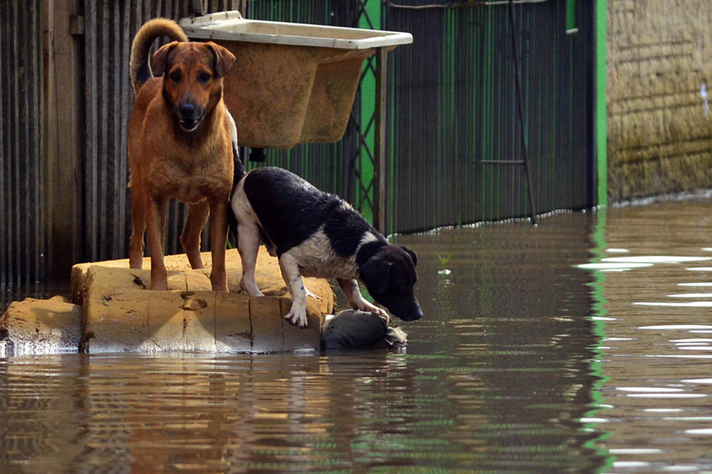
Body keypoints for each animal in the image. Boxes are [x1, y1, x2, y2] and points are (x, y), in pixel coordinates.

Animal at [128, 18, 236, 290]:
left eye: (204, 76)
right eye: (175, 76)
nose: (187, 109)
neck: (190, 144)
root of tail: (149, 81)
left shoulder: (219, 201)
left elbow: (219, 260)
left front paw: (220, 290)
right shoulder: (155, 198)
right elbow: (157, 256)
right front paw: (158, 289)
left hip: (202, 204)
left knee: (189, 238)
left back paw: (199, 271)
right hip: (139, 191)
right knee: (137, 240)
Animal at [231, 168, 422, 330]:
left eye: (414, 284)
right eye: (401, 286)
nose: (419, 315)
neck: (355, 243)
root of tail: (248, 174)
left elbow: (353, 291)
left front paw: (368, 307)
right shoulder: (288, 255)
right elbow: (298, 287)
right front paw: (299, 313)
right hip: (248, 233)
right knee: (247, 277)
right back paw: (258, 296)